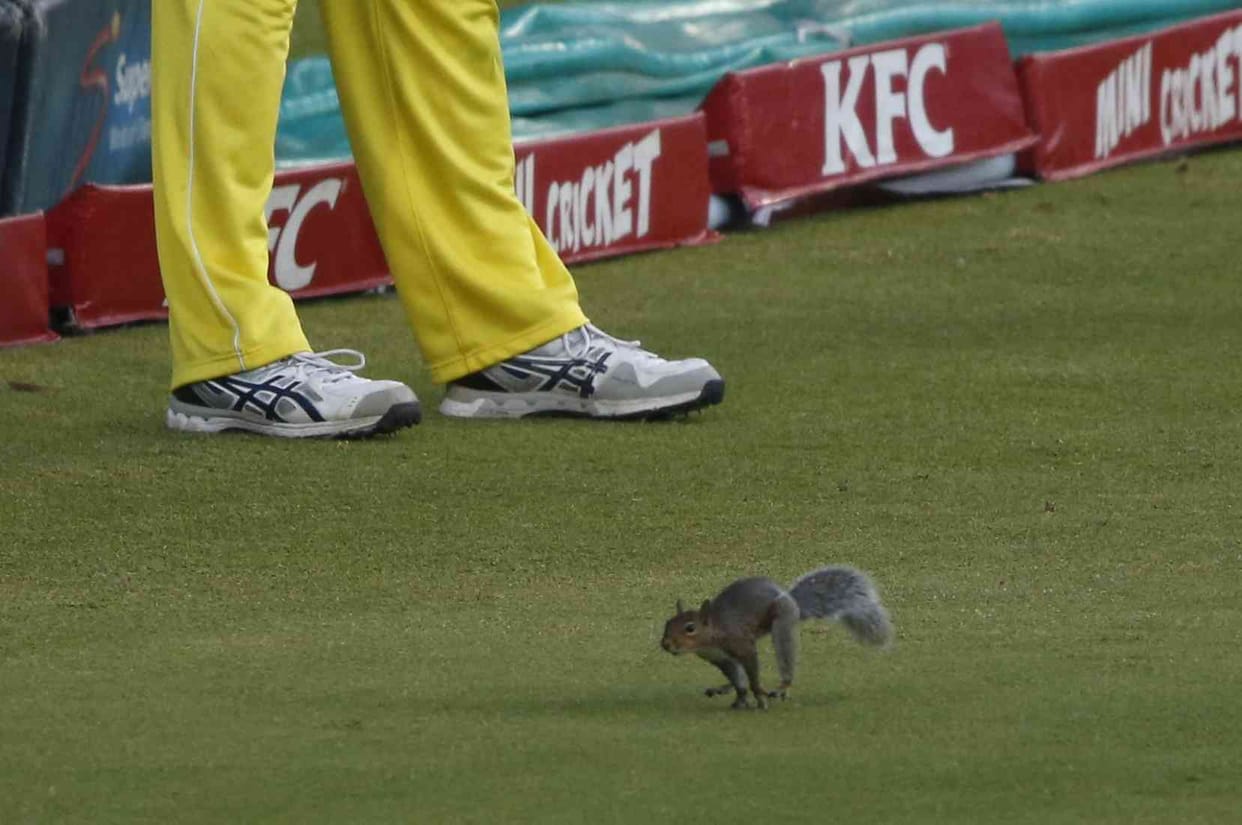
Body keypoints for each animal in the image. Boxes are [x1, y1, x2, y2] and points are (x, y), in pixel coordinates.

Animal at [661, 565, 892, 709]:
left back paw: (782, 687)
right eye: (667, 623)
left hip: (782, 620)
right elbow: (738, 680)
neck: (714, 633)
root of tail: (791, 600)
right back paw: (724, 688)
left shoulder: (742, 645)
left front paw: (759, 699)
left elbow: (752, 676)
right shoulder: (721, 658)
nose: (666, 644)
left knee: (785, 655)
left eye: (690, 628)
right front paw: (740, 699)